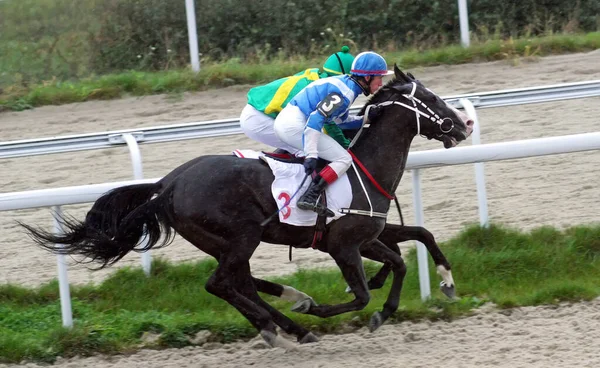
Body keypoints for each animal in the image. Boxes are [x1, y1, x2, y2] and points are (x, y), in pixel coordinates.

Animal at [21, 65, 474, 348]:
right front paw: (331, 307)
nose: (463, 126)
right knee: (220, 284)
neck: (365, 167)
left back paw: (287, 316)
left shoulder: (368, 233)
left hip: (224, 241)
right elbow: (364, 291)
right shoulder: (342, 244)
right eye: (431, 98)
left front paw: (444, 283)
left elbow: (412, 244)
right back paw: (282, 324)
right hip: (242, 235)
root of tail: (169, 183)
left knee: (239, 281)